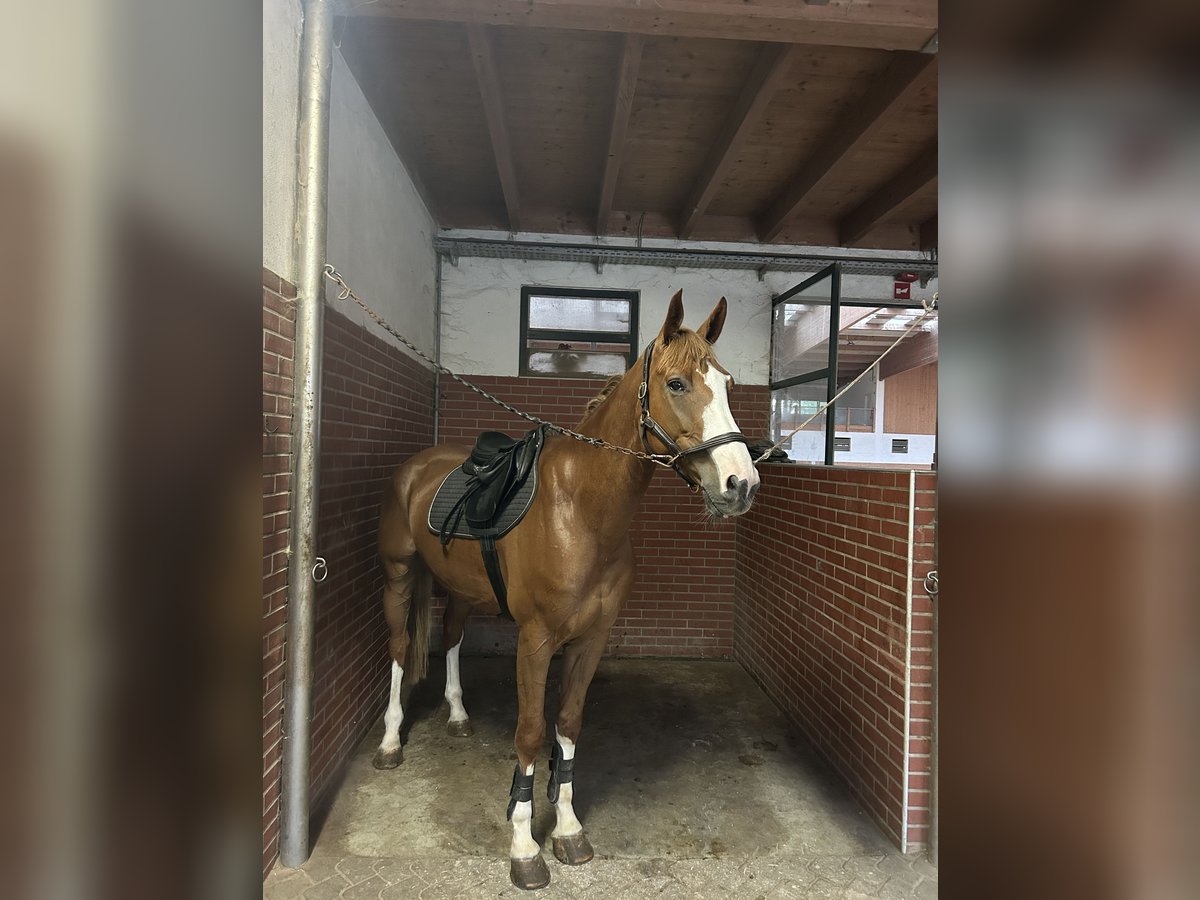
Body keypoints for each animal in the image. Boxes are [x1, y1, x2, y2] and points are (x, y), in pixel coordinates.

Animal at [369, 292, 758, 892]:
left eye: (730, 383)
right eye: (676, 384)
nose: (741, 485)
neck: (580, 511)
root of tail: (416, 467)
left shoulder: (590, 640)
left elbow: (568, 726)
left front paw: (569, 829)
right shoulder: (535, 642)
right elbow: (531, 734)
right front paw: (525, 848)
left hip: (460, 588)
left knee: (451, 635)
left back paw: (457, 715)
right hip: (398, 574)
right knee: (396, 648)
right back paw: (390, 743)